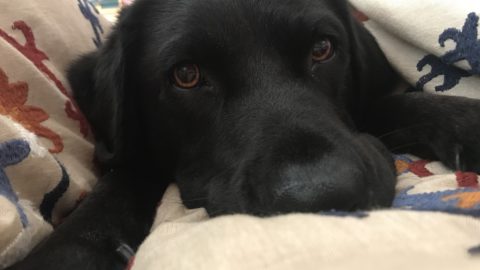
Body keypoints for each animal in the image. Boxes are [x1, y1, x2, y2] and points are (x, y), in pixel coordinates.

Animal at [9, 0, 480, 268]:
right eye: (185, 74)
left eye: (322, 48)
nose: (322, 195)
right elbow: (123, 176)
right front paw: (71, 249)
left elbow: (389, 106)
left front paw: (464, 122)